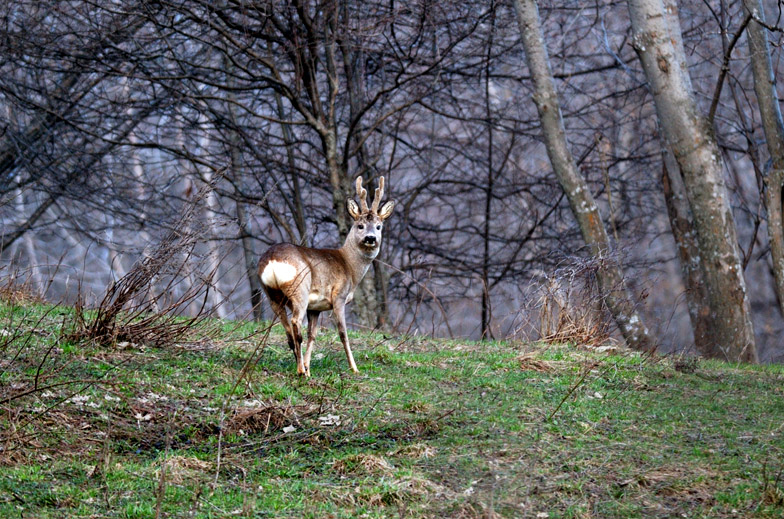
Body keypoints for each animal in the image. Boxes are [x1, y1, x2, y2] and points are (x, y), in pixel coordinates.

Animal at [258, 177, 396, 376]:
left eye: (379, 226)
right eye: (360, 225)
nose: (370, 238)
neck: (350, 266)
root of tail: (272, 260)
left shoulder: (315, 307)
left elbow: (313, 335)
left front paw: (309, 366)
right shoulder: (339, 296)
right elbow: (343, 333)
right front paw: (354, 368)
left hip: (271, 294)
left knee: (289, 331)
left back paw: (302, 368)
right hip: (300, 288)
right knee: (295, 323)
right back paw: (300, 371)